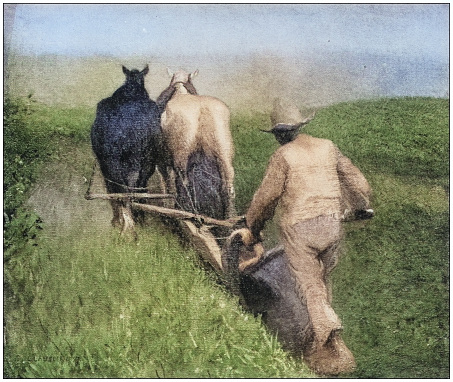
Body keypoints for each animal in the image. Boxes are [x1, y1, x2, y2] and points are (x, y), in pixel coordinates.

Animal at [90, 64, 161, 234]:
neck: (131, 90)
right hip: (143, 160)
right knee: (134, 189)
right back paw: (134, 222)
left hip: (110, 162)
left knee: (119, 190)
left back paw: (123, 223)